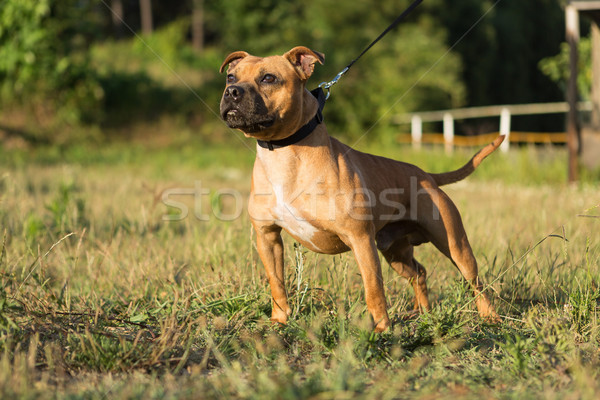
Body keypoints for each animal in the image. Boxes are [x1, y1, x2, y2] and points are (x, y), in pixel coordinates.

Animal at [220, 46, 502, 332]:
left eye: (268, 78)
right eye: (231, 77)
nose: (232, 92)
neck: (283, 152)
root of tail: (426, 176)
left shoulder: (360, 239)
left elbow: (373, 287)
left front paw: (382, 329)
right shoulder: (267, 237)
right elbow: (276, 283)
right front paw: (279, 321)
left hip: (455, 245)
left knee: (476, 282)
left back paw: (490, 317)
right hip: (395, 250)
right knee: (418, 273)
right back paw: (423, 313)